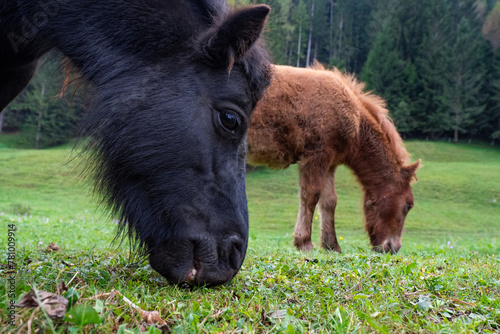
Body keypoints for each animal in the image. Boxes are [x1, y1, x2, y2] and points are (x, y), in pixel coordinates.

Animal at [248, 64, 420, 253]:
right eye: (408, 205)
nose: (392, 248)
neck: (355, 122)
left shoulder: (330, 163)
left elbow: (329, 200)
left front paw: (331, 245)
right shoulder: (315, 156)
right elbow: (310, 195)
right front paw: (304, 242)